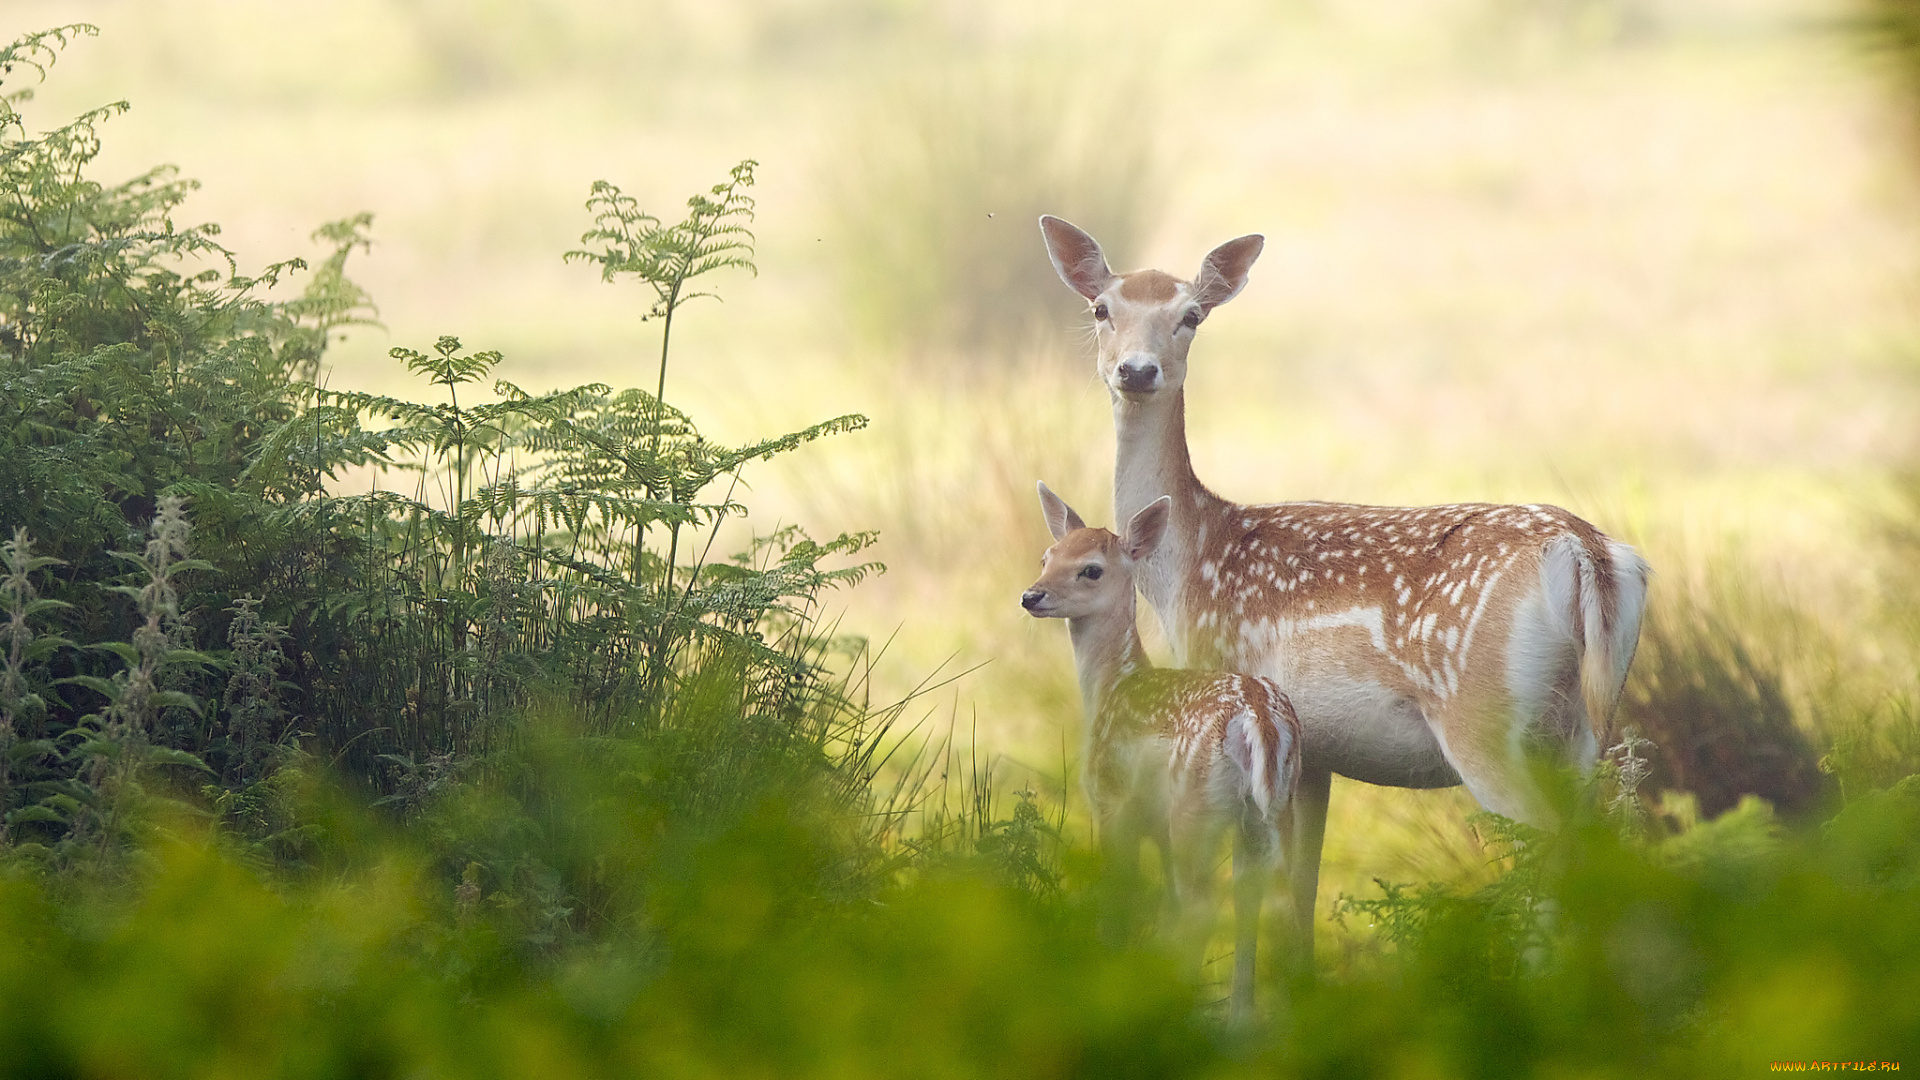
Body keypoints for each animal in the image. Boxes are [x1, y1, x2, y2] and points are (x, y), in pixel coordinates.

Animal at [1021, 480, 1305, 1014]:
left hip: (1195, 806)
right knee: (1274, 901)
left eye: (1091, 568)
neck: (1113, 687)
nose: (1031, 595)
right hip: (1273, 808)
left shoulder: (1112, 800)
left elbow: (1122, 898)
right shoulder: (1154, 824)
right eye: (1047, 555)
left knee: (1202, 907)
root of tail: (1258, 716)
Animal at [1036, 214, 1651, 960]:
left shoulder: (1237, 684)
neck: (1188, 565)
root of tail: (1587, 553)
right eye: (1102, 308)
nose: (1136, 370)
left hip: (1484, 716)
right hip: (1585, 727)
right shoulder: (1315, 754)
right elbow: (1300, 895)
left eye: (1191, 315)